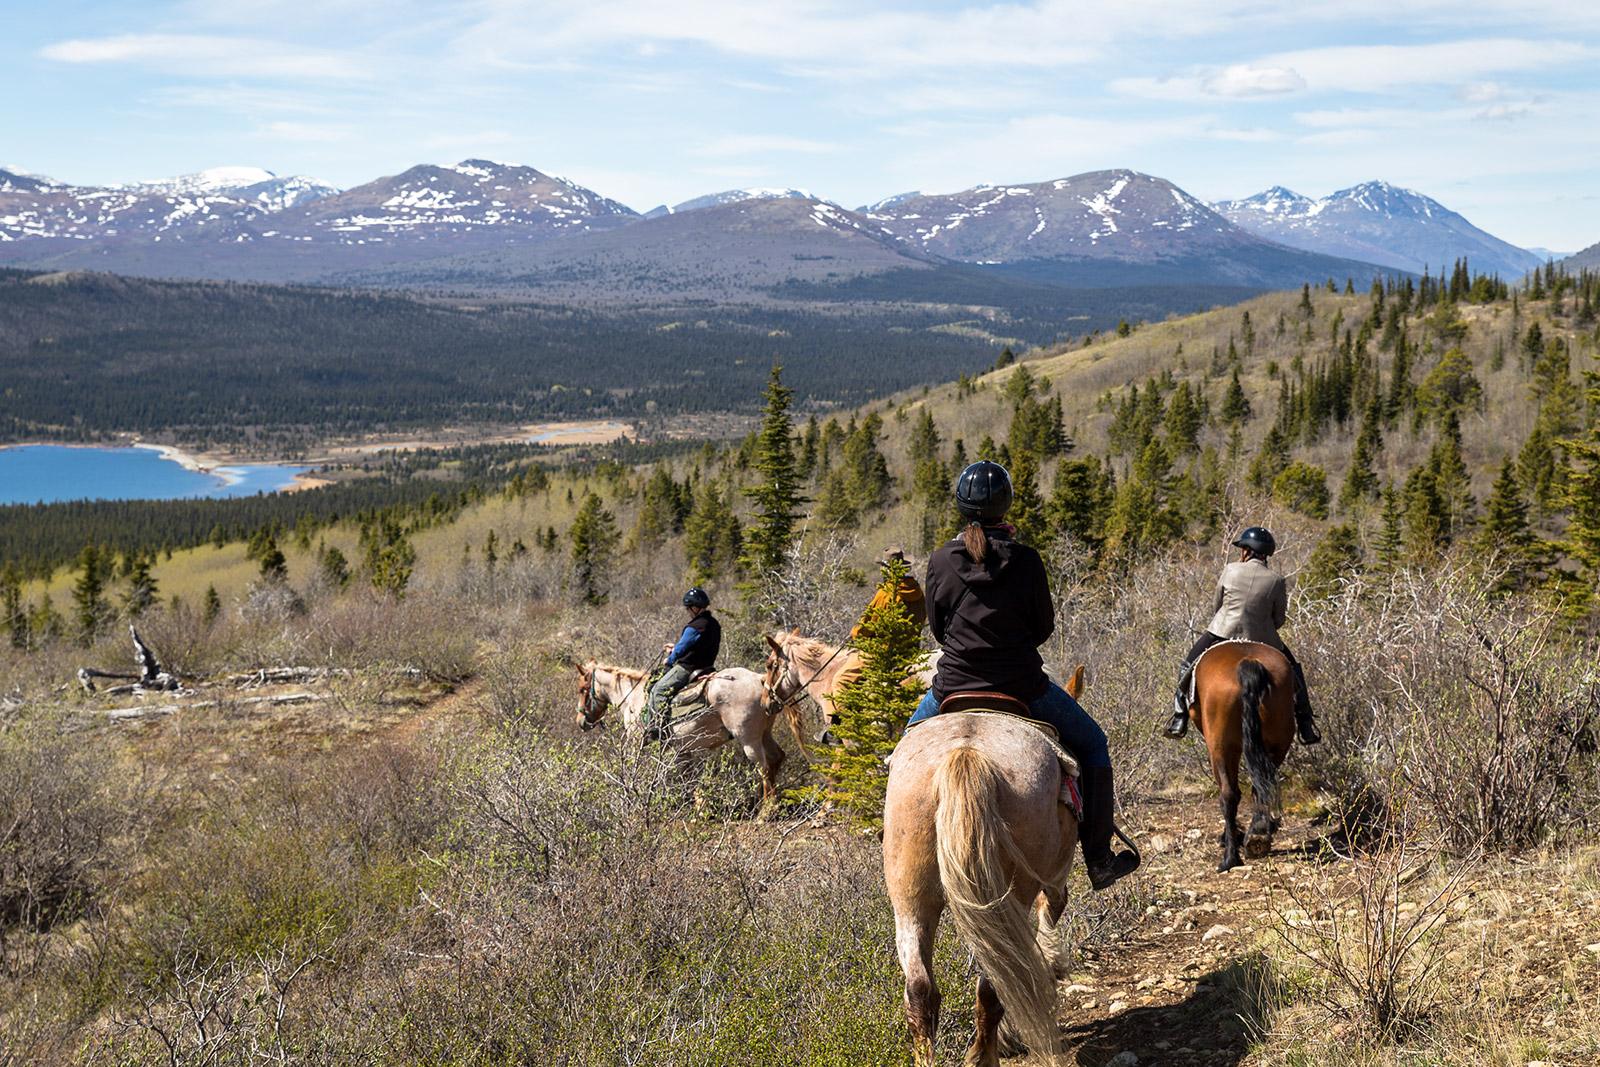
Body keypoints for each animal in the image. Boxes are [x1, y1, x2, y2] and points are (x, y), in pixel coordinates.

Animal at [572, 662, 790, 806]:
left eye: (582, 689)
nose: (581, 722)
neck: (633, 696)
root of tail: (760, 679)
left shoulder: (636, 742)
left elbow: (633, 771)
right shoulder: (682, 749)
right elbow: (688, 778)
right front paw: (696, 807)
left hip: (749, 740)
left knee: (763, 768)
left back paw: (766, 810)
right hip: (764, 734)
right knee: (776, 758)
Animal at [876, 668, 1088, 1067]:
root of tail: (965, 753)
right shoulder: (1054, 880)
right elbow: (1050, 916)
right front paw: (1053, 967)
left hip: (910, 898)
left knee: (920, 989)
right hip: (1013, 894)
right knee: (996, 979)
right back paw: (986, 1053)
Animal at [1190, 639, 1299, 870]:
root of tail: (1248, 663)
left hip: (1220, 747)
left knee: (1229, 795)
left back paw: (1230, 857)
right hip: (1277, 744)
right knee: (1262, 787)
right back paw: (1258, 836)